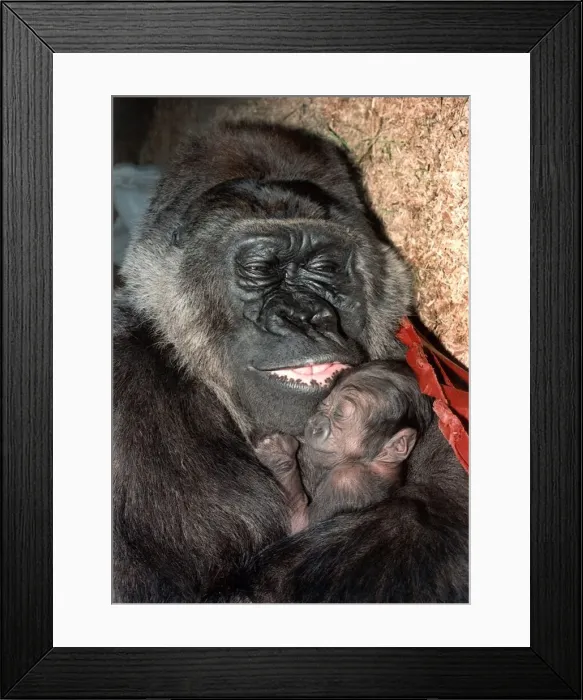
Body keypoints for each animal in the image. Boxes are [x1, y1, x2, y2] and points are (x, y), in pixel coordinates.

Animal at [254, 361, 431, 533]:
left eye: (340, 414)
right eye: (323, 406)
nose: (316, 424)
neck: (374, 463)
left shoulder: (345, 481)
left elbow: (300, 525)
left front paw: (277, 453)